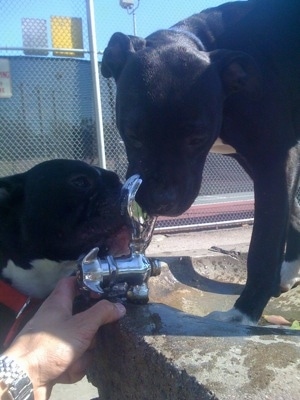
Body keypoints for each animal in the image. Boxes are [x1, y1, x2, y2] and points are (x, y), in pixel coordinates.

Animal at [101, 0, 300, 324]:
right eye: (133, 135)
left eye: (196, 138)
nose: (160, 201)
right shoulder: (264, 162)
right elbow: (293, 212)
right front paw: (287, 274)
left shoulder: (276, 156)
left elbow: (264, 242)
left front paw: (244, 313)